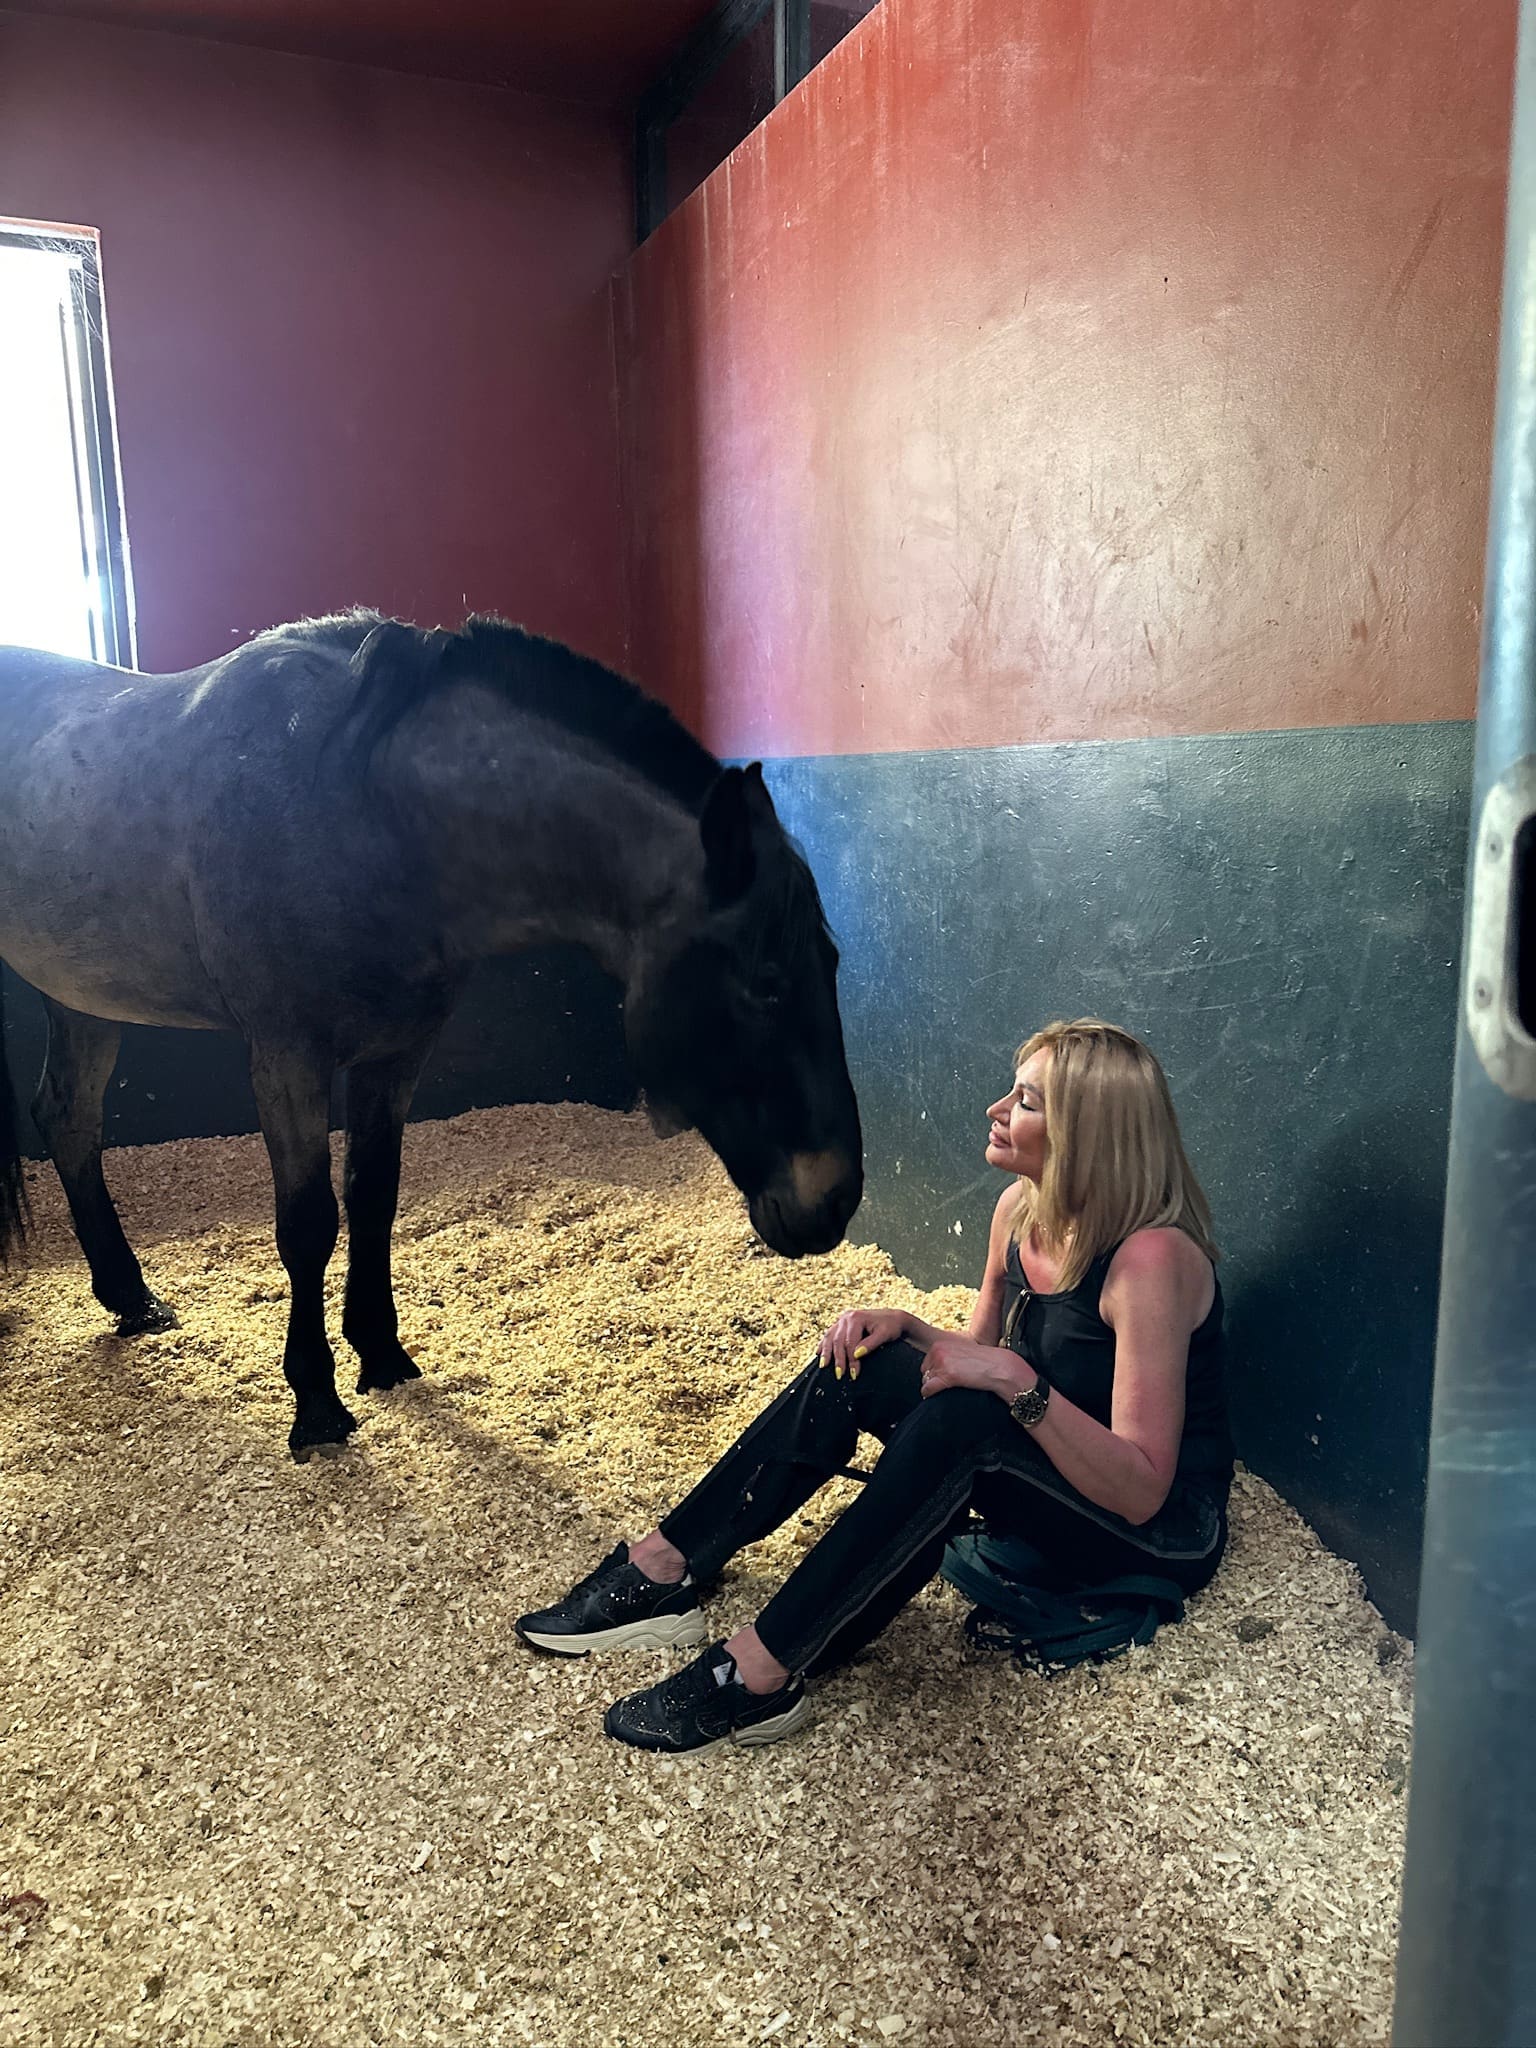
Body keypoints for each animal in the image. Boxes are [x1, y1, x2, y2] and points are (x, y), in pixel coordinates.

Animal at [0, 612, 863, 1458]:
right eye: (767, 982)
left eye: (830, 962)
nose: (835, 1201)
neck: (362, 810)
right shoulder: (286, 1056)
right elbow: (308, 1223)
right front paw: (316, 1404)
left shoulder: (397, 1052)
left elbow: (374, 1197)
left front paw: (381, 1354)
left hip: (81, 996)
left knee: (68, 1121)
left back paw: (131, 1297)